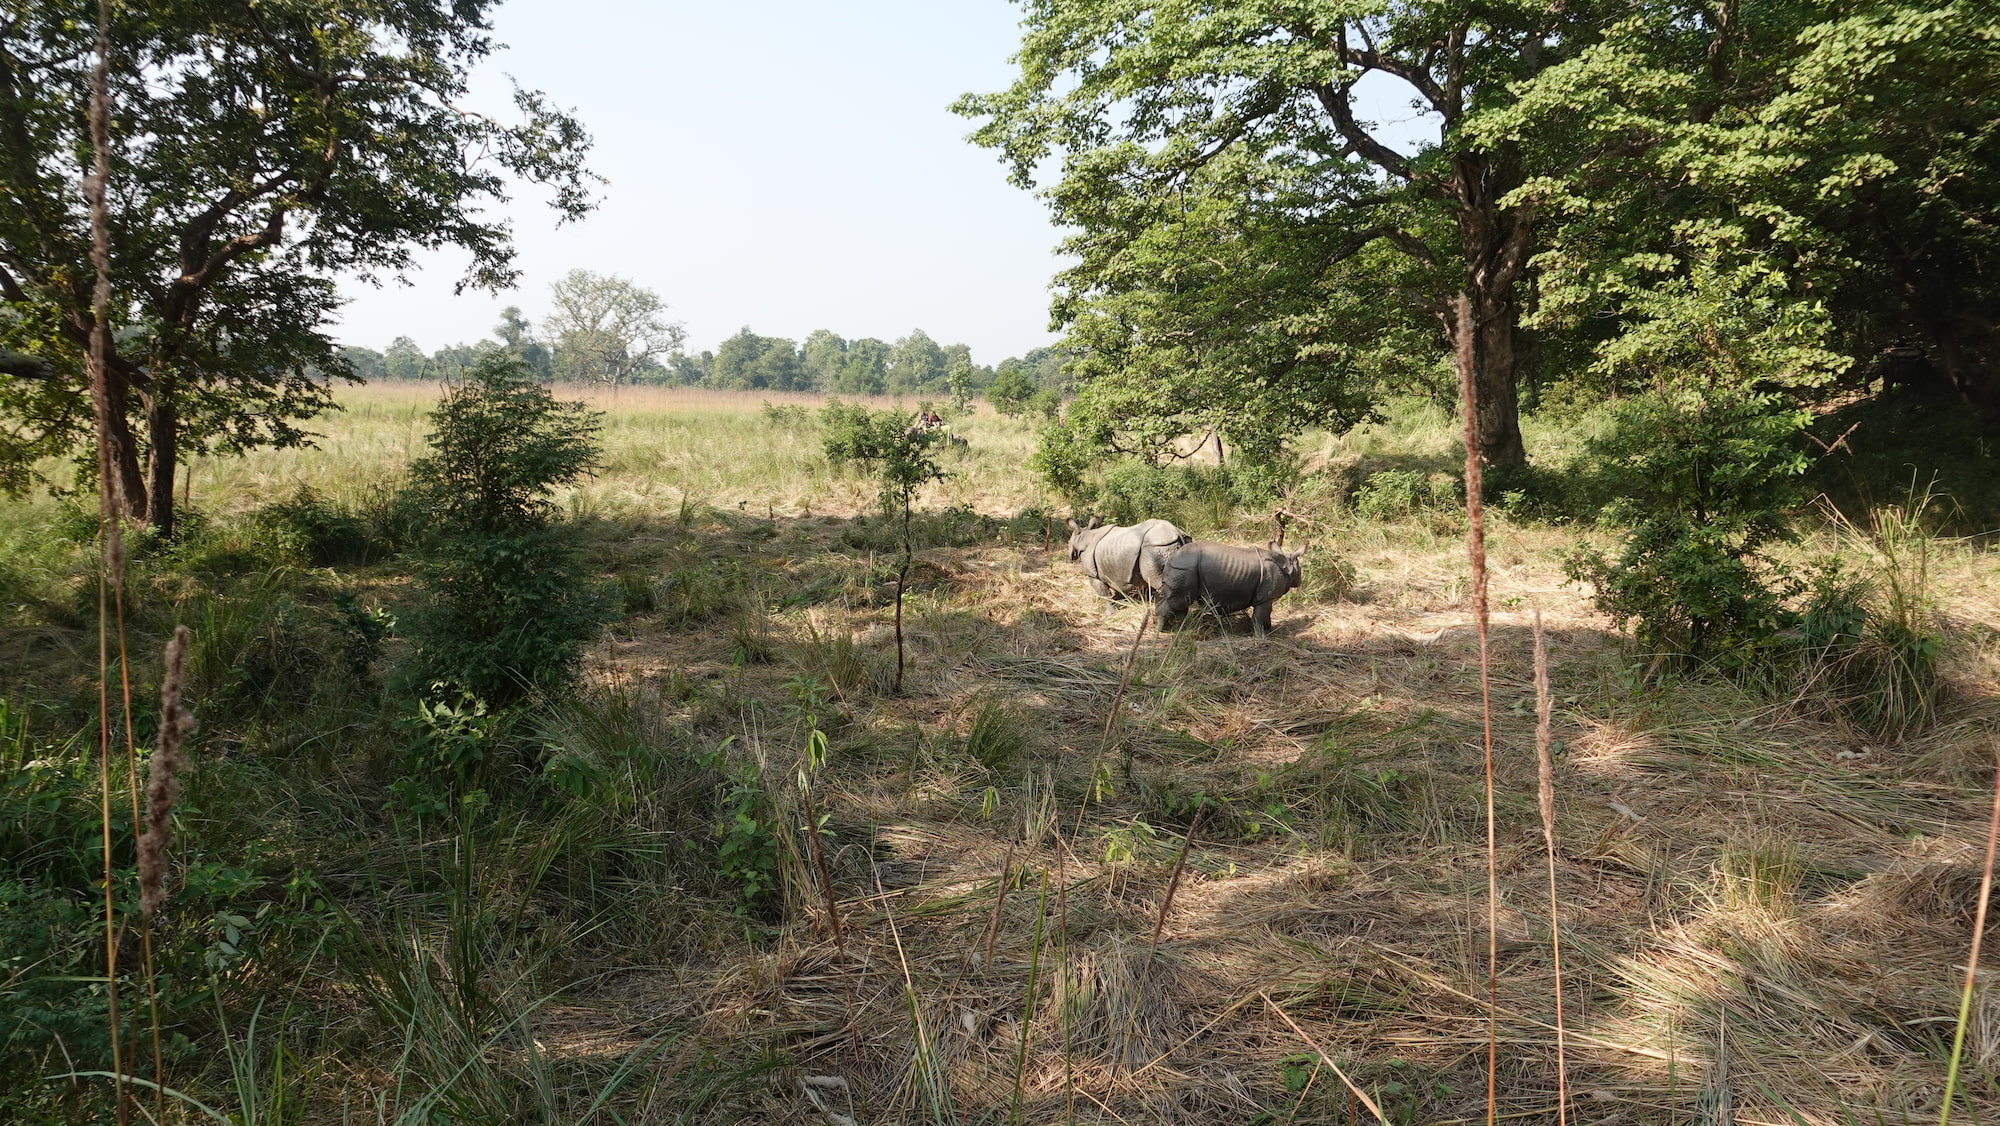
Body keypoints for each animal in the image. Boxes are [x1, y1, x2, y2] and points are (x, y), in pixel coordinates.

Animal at [1154, 541, 1305, 638]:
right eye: (1299, 568)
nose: (1299, 582)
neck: (1286, 563)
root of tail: (1171, 558)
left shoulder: (1266, 597)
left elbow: (1265, 615)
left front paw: (1268, 629)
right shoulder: (1266, 596)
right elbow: (1260, 616)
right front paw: (1260, 636)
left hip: (1183, 568)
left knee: (1178, 603)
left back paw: (1175, 629)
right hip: (1185, 568)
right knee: (1179, 601)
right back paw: (1161, 631)